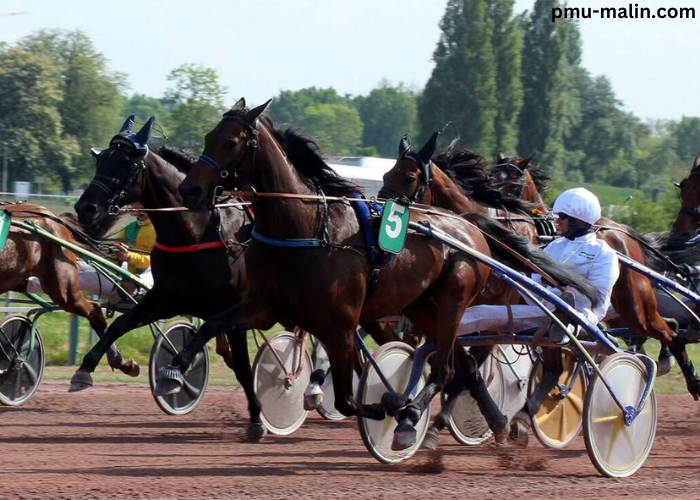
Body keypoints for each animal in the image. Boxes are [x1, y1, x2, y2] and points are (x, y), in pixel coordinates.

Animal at [165, 98, 596, 450]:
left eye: (231, 142)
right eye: (208, 136)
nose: (190, 191)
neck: (308, 228)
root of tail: (468, 224)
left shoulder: (339, 324)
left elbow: (348, 398)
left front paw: (389, 403)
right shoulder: (264, 306)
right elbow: (214, 324)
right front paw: (177, 364)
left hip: (456, 303)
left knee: (450, 368)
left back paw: (416, 418)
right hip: (424, 307)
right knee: (463, 366)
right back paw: (493, 421)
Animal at [492, 154, 700, 400]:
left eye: (513, 183)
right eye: (491, 177)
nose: (493, 208)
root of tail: (623, 231)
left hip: (634, 306)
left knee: (662, 330)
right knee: (662, 327)